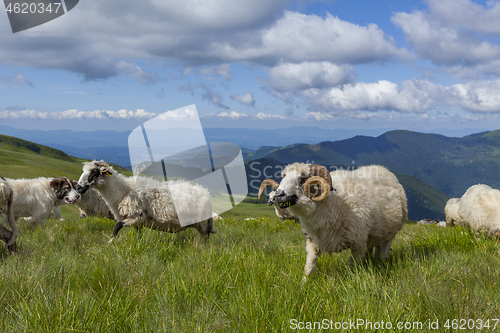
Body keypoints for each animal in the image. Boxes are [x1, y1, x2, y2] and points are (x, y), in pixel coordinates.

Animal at [75, 160, 216, 241]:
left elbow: (117, 226)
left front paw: (111, 242)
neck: (123, 190)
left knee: (205, 237)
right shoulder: (137, 223)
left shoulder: (137, 216)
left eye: (94, 171)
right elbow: (138, 235)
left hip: (202, 223)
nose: (78, 187)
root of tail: (206, 194)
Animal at [262, 163, 406, 274]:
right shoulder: (312, 241)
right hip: (376, 234)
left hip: (391, 233)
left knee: (384, 250)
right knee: (374, 247)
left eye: (303, 178)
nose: (278, 195)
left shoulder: (358, 243)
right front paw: (303, 285)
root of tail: (384, 169)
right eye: (284, 176)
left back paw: (382, 263)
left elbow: (352, 267)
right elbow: (308, 267)